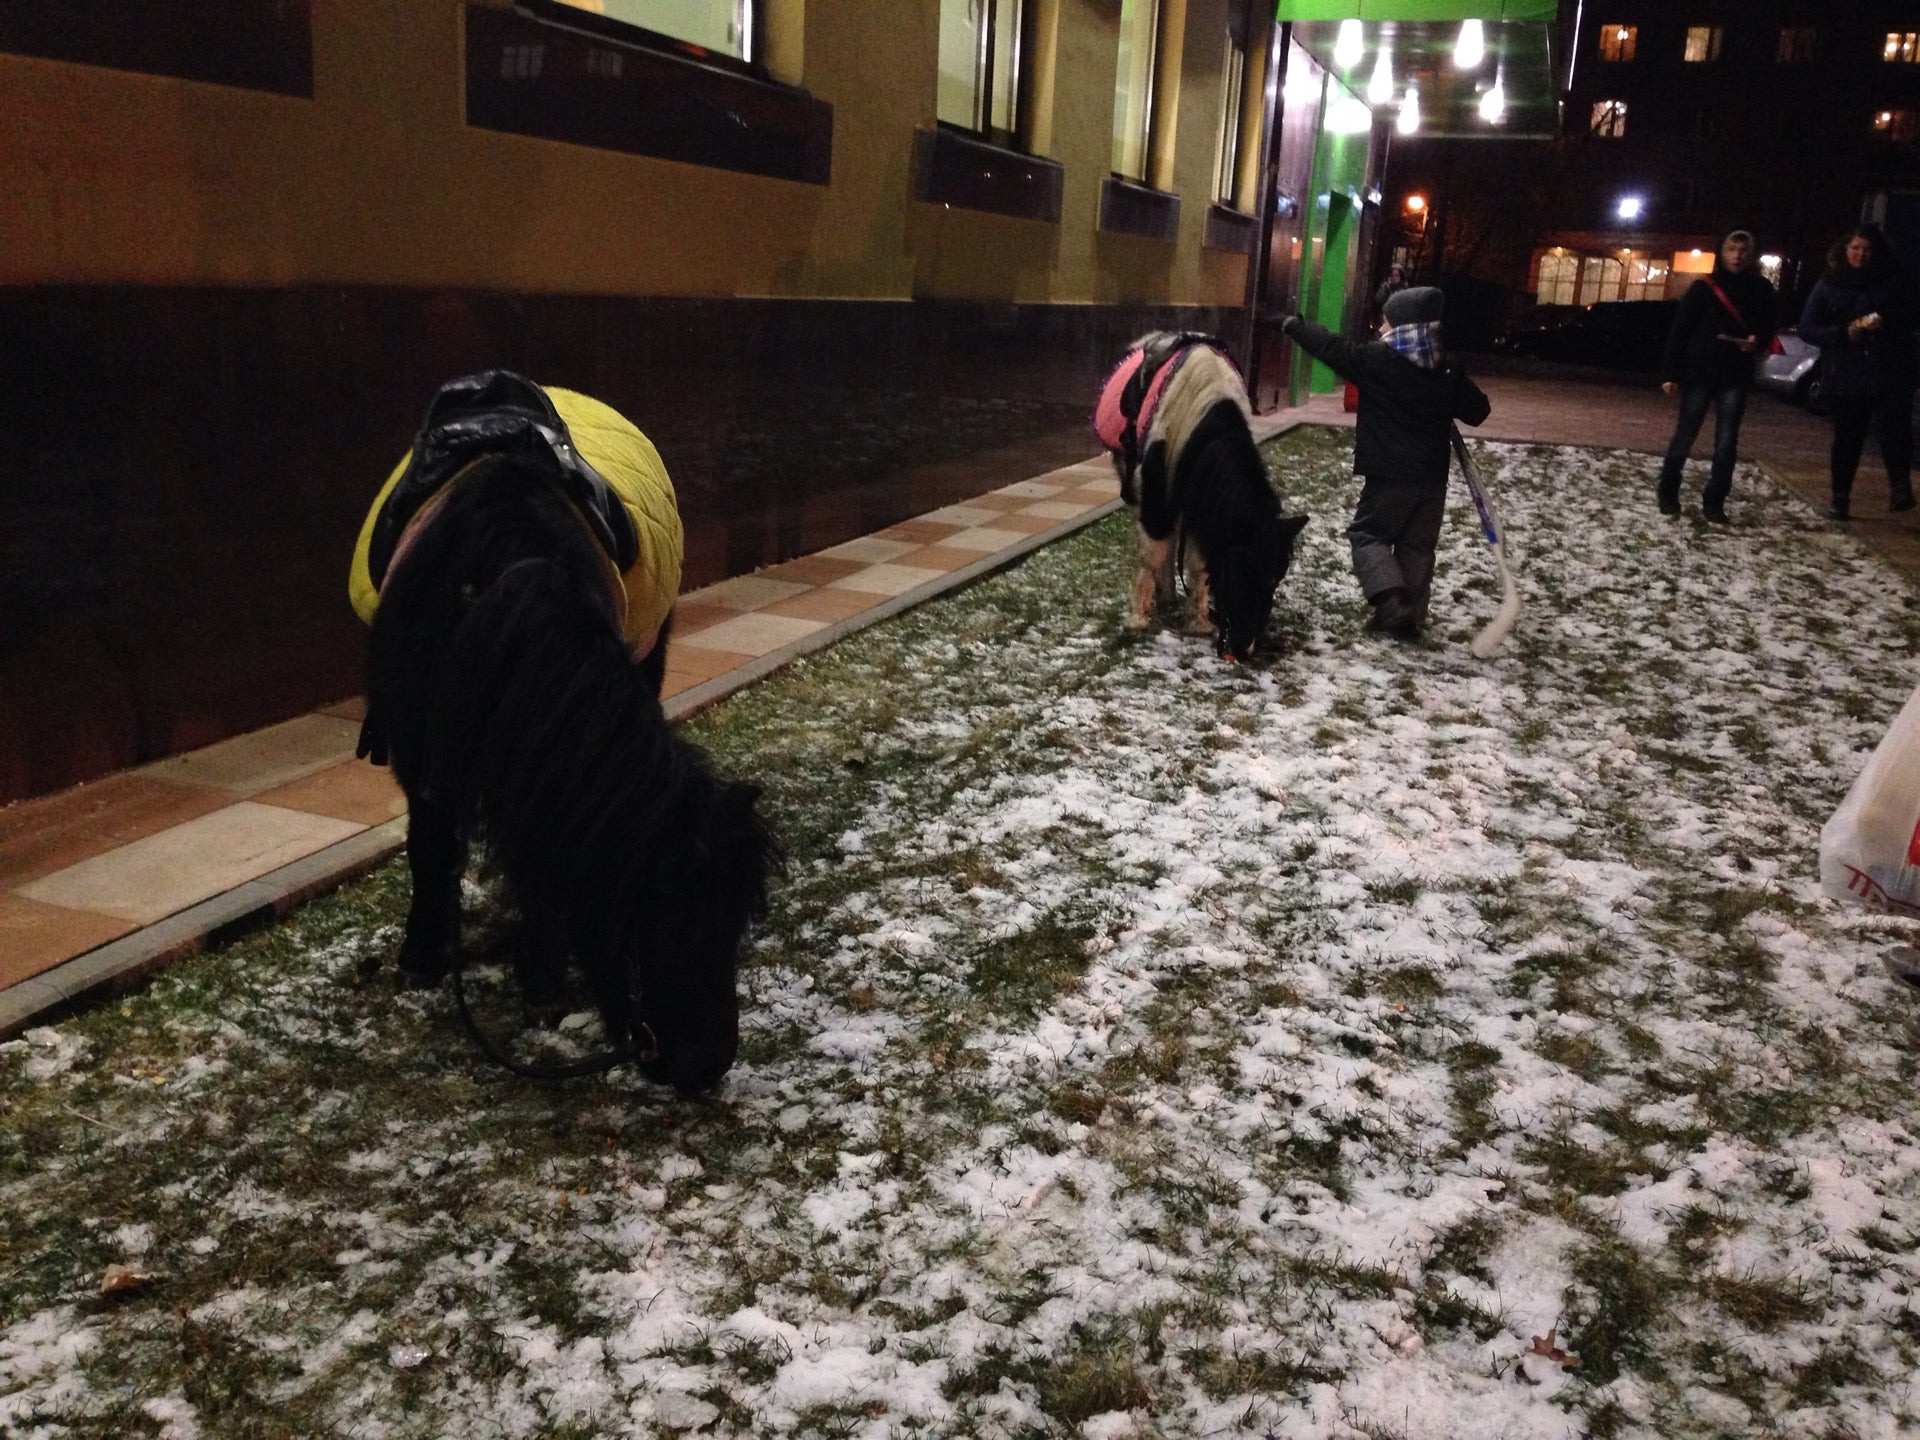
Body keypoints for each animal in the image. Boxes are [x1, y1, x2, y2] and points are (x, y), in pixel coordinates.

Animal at [362, 456, 775, 1098]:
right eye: (655, 910)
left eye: (735, 920)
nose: (707, 1068)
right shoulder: (420, 760)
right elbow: (430, 850)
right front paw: (422, 959)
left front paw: (542, 984)